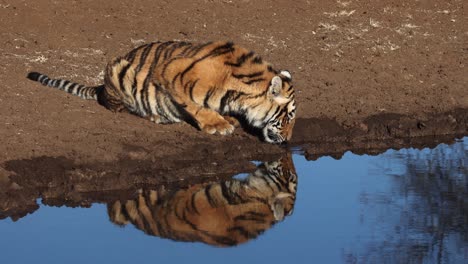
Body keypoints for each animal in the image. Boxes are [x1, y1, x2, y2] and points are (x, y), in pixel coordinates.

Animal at [26, 41, 296, 143]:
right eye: (288, 117)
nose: (288, 141)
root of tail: (103, 87)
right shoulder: (173, 72)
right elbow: (195, 106)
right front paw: (217, 125)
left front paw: (227, 118)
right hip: (118, 70)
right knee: (122, 108)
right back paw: (157, 116)